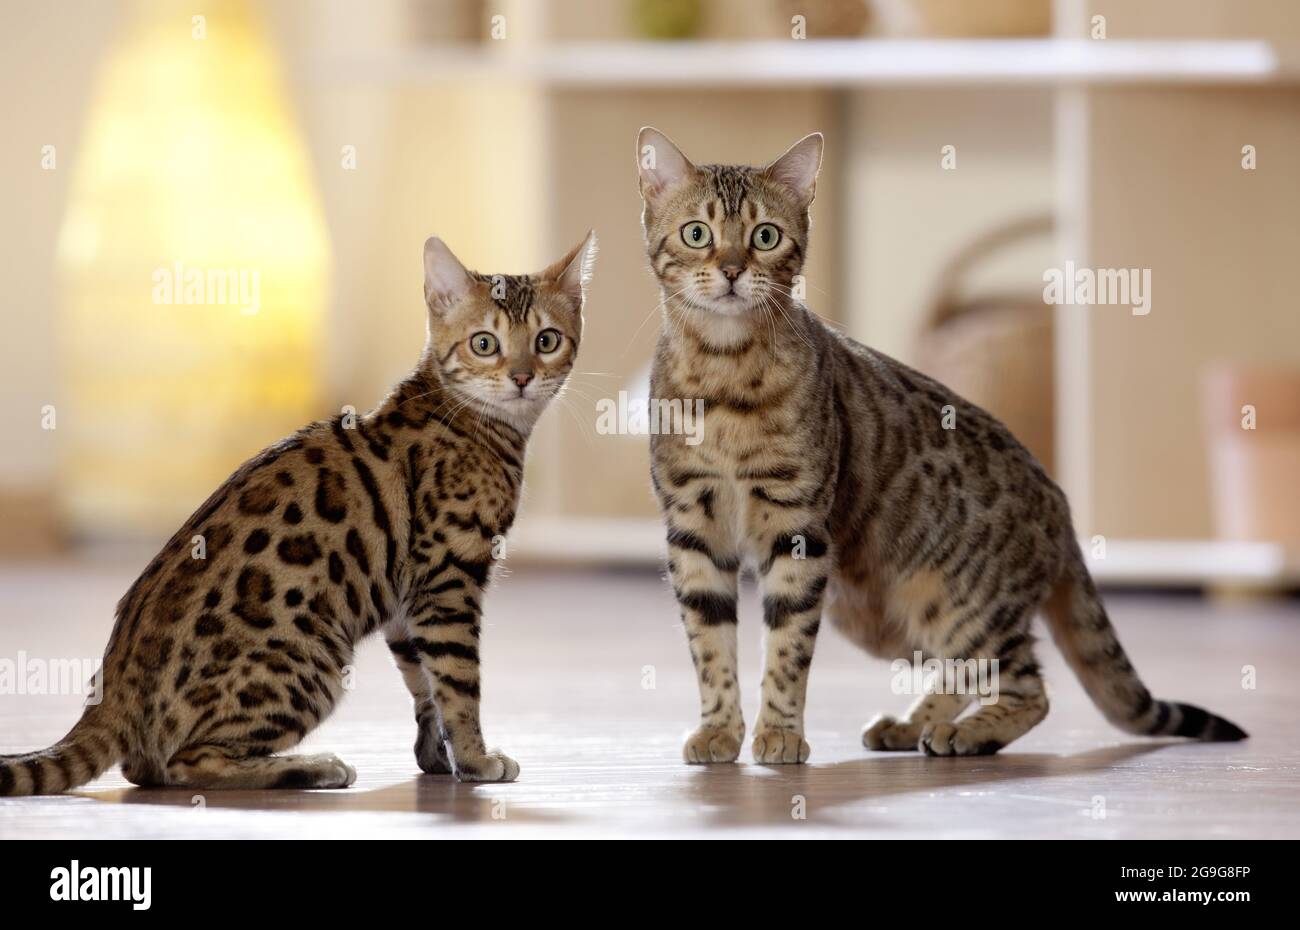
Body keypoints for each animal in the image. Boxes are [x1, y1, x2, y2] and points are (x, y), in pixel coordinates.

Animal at [0, 232, 598, 790]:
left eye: (546, 341)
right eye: (484, 343)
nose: (521, 376)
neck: (483, 425)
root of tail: (111, 694)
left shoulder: (407, 602)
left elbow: (423, 685)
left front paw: (438, 758)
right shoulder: (447, 579)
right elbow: (458, 683)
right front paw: (475, 760)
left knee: (144, 768)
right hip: (313, 661)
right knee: (180, 763)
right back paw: (310, 768)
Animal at [639, 127, 1248, 770]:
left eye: (765, 236)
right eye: (697, 233)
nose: (732, 270)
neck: (724, 377)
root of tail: (1061, 507)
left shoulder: (798, 530)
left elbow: (786, 650)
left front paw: (779, 733)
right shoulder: (693, 531)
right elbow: (710, 646)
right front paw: (719, 730)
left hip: (957, 605)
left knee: (1028, 686)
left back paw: (966, 733)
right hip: (882, 618)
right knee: (967, 673)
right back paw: (912, 726)